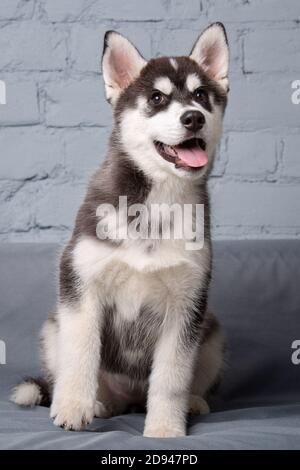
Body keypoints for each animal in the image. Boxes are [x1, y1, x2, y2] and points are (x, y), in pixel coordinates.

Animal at [10, 23, 229, 438]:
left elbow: (171, 377)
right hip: (53, 326)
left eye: (200, 95)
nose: (193, 117)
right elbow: (81, 354)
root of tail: (129, 399)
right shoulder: (80, 282)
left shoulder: (187, 304)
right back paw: (97, 403)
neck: (156, 201)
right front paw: (72, 407)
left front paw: (165, 427)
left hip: (211, 332)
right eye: (157, 98)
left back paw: (192, 403)